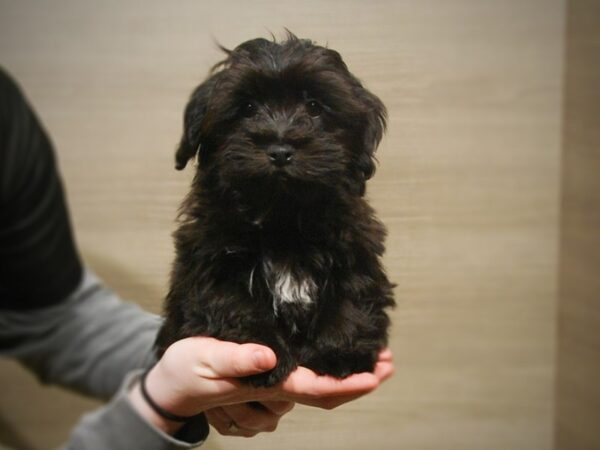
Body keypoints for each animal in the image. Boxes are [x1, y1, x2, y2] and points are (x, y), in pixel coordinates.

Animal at [157, 34, 396, 386]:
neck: (281, 215)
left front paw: (340, 353)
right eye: (248, 108)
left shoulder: (355, 249)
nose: (280, 150)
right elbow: (234, 301)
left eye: (314, 107)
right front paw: (264, 352)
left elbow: (351, 295)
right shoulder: (212, 260)